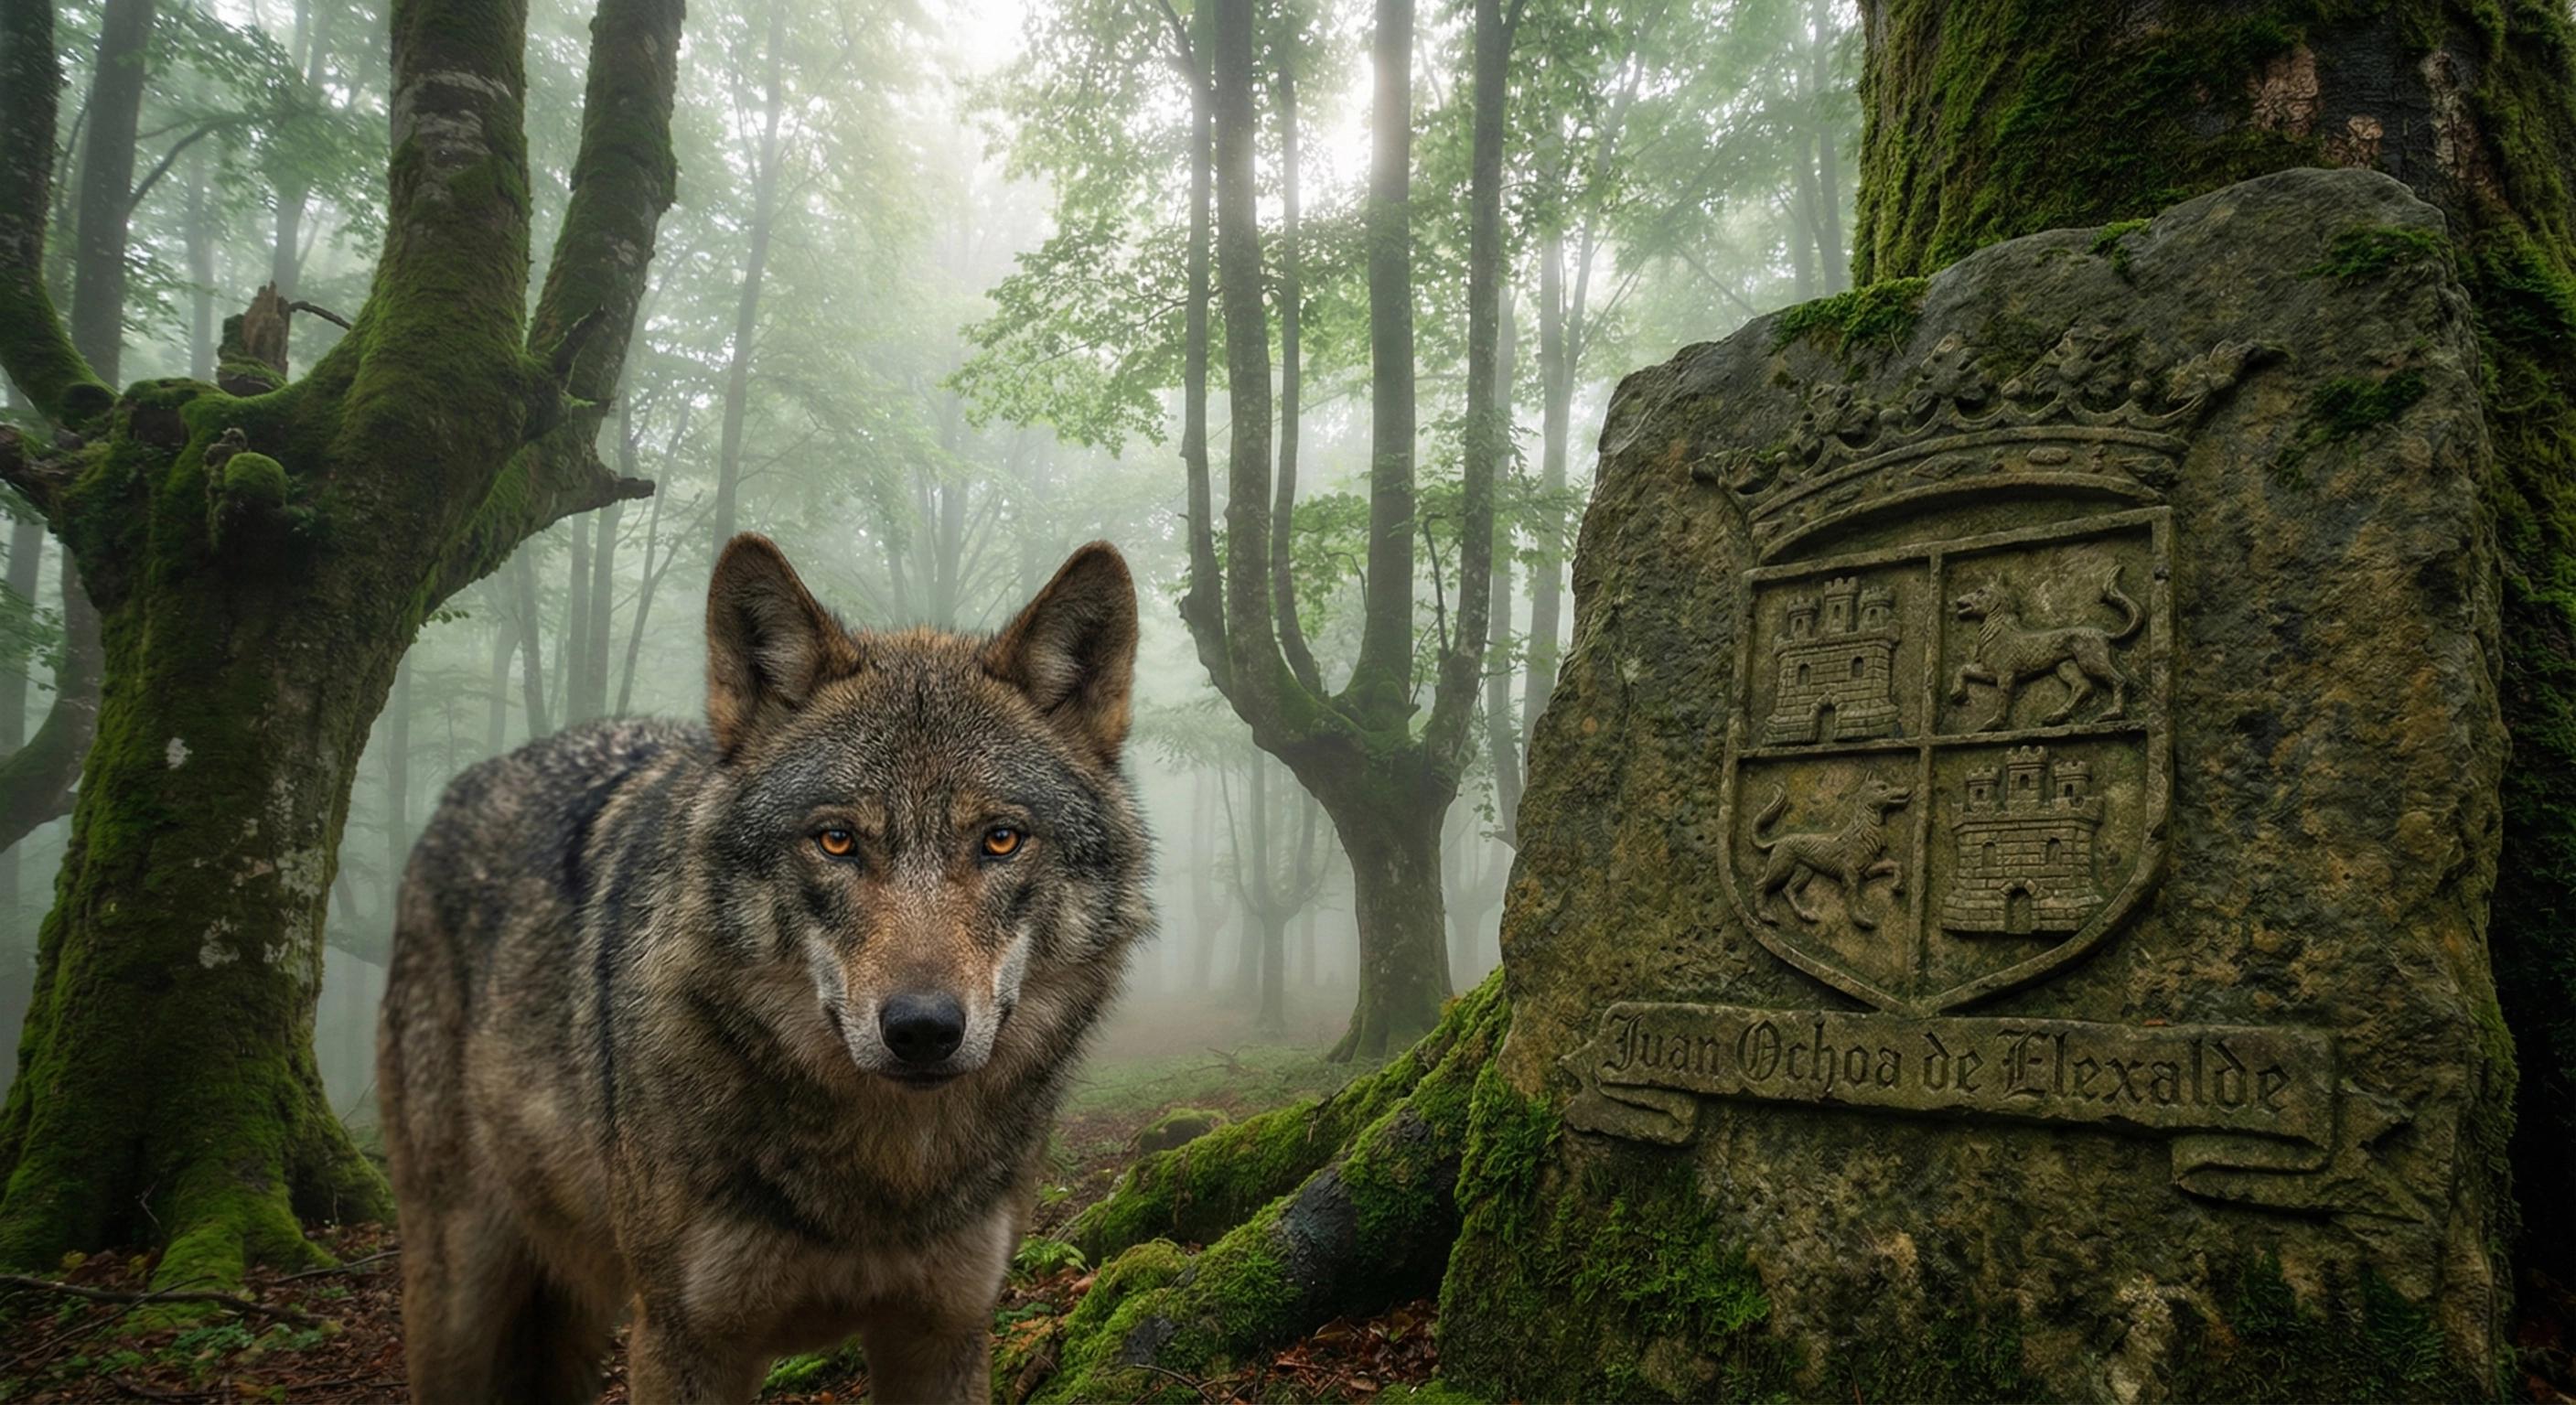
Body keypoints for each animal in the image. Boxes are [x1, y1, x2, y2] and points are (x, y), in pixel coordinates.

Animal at [378, 534, 1151, 1404]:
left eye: (1001, 839)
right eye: (837, 841)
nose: (923, 1030)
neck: (883, 1178)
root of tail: (463, 788)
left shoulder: (946, 1330)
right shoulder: (682, 1342)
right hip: (458, 1301)